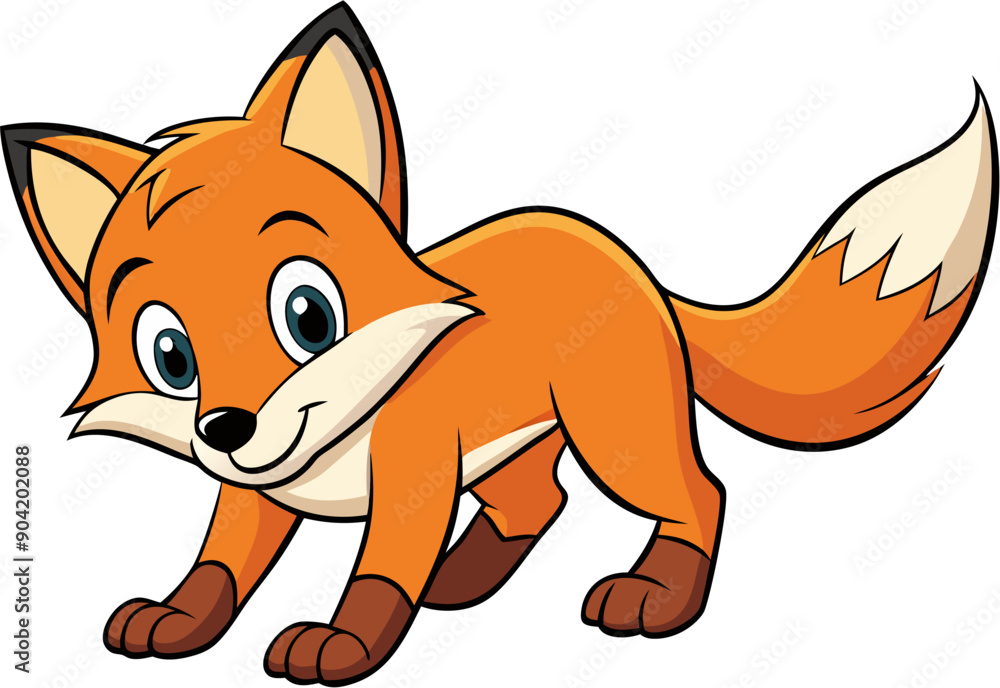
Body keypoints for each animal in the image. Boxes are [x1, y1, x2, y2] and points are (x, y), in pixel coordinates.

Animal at [3, 3, 997, 685]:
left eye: (308, 316)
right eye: (171, 357)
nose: (228, 427)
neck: (337, 441)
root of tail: (614, 249)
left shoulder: (413, 477)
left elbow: (378, 576)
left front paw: (342, 642)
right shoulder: (257, 495)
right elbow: (217, 567)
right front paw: (177, 623)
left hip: (615, 437)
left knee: (700, 492)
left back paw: (657, 598)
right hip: (519, 444)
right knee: (538, 504)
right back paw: (463, 580)